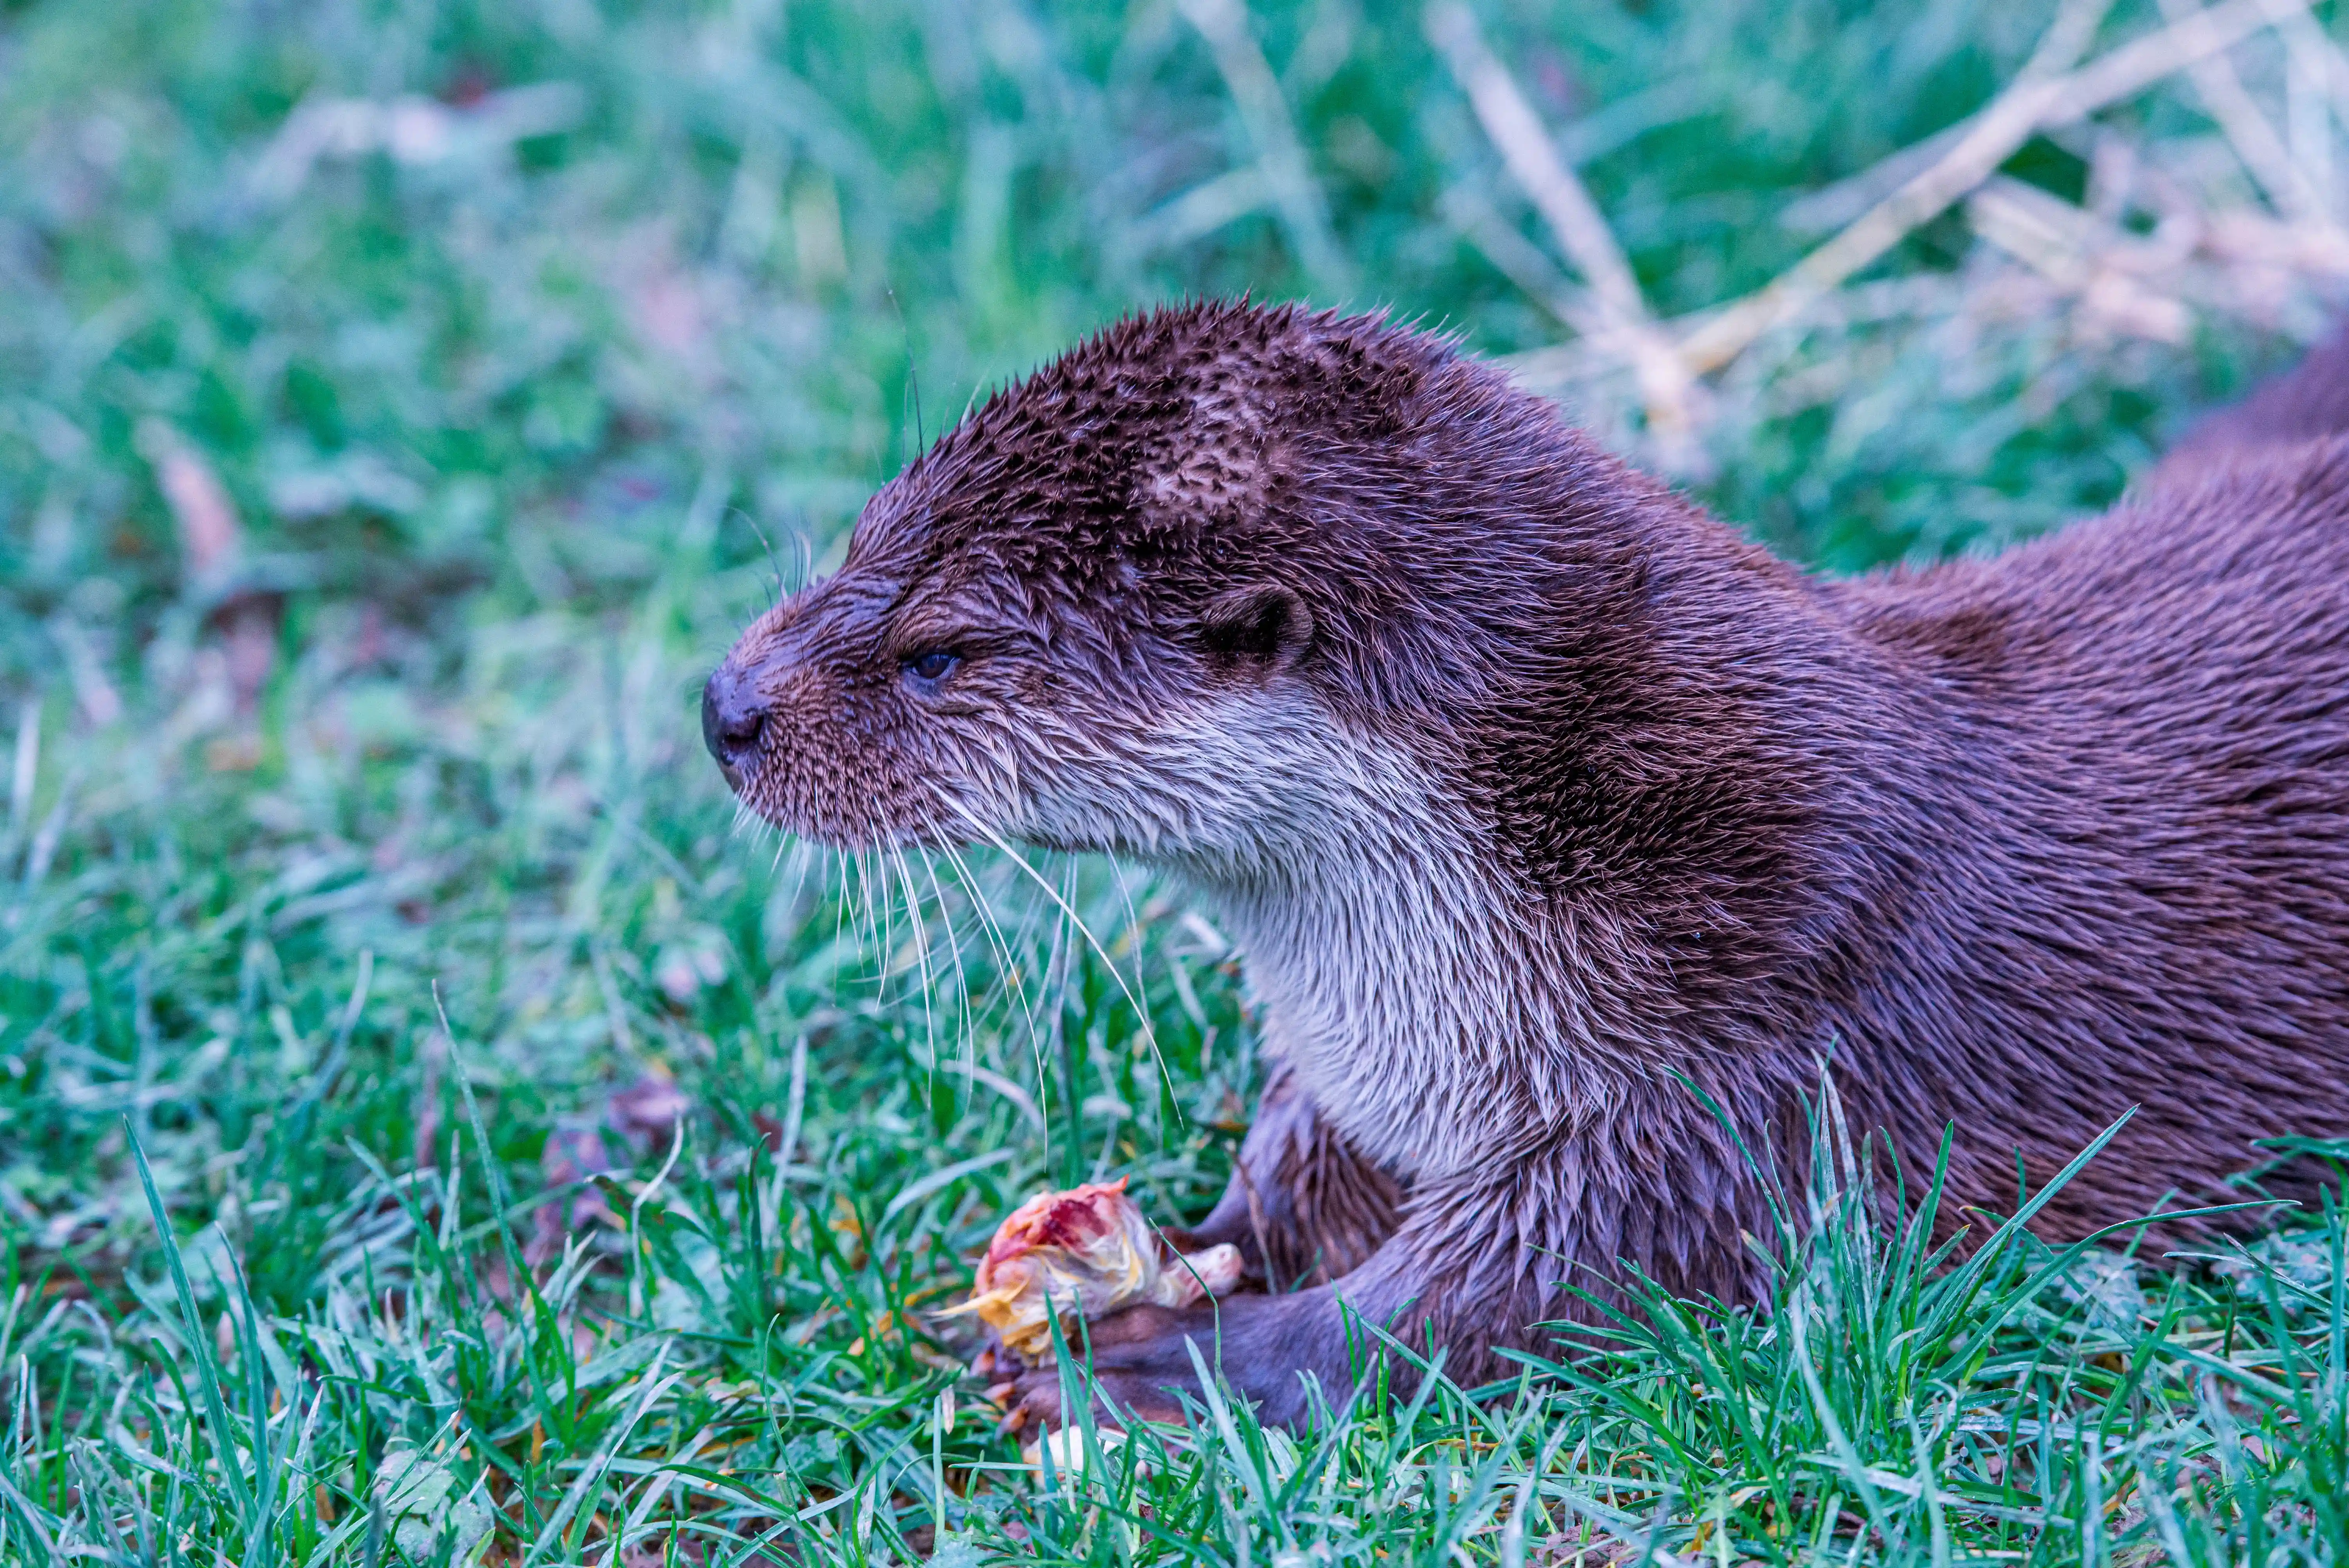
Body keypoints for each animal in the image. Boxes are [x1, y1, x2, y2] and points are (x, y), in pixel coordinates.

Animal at [702, 301, 2349, 1429]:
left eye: (939, 653)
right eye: (861, 536)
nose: (724, 707)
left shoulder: (1740, 1072)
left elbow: (1491, 1298)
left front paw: (1171, 1366)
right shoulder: (1370, 1063)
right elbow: (1291, 1171)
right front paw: (1157, 1256)